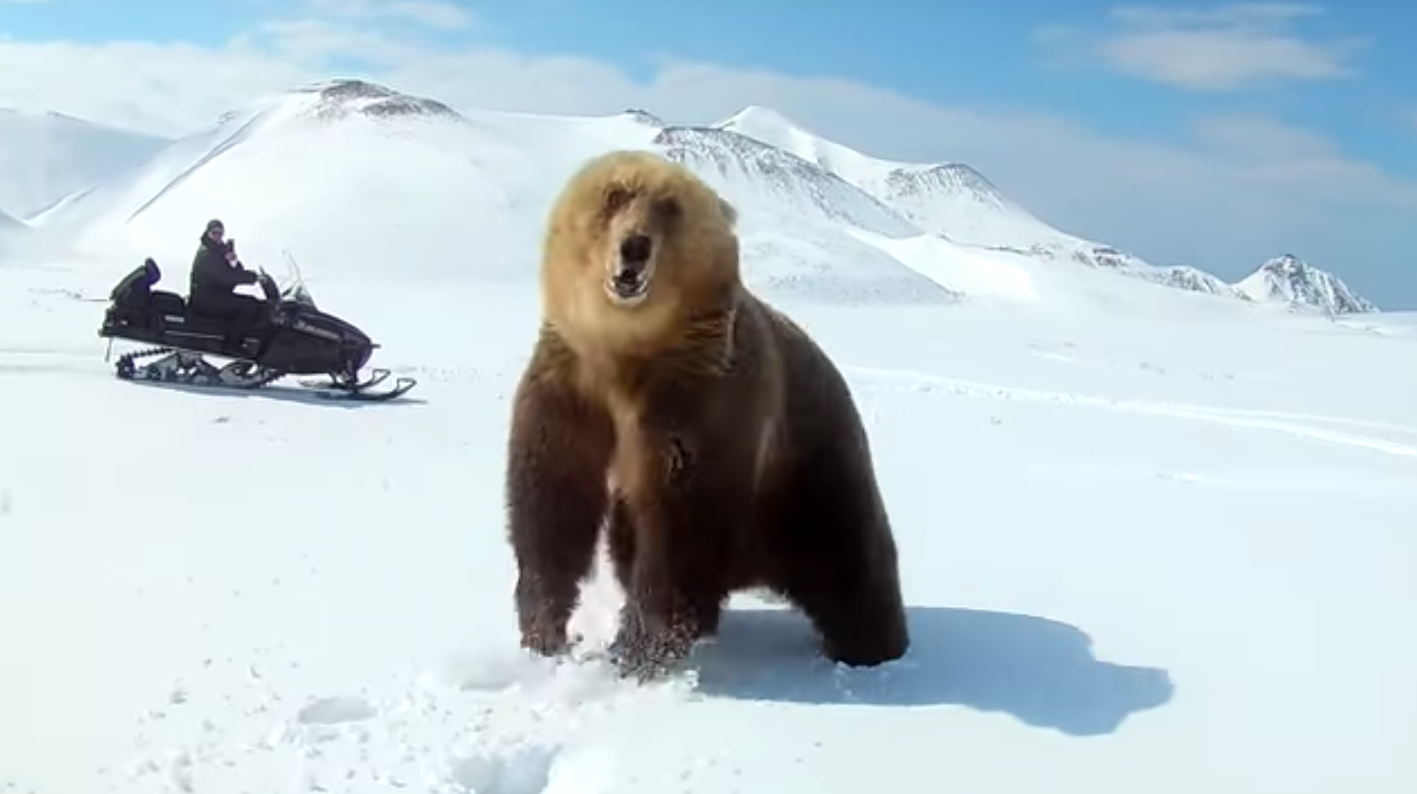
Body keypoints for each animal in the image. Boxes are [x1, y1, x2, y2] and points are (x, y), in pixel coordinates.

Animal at [503, 148, 909, 679]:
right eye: (616, 194)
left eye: (670, 207)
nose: (635, 246)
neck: (626, 355)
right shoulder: (571, 387)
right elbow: (551, 502)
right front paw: (545, 634)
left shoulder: (697, 403)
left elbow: (678, 525)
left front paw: (640, 653)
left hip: (813, 470)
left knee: (851, 560)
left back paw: (872, 648)